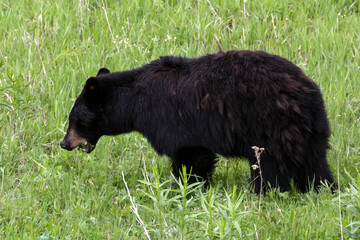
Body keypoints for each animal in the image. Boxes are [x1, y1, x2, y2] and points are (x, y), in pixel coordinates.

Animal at [61, 50, 334, 193]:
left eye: (75, 120)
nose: (64, 143)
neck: (136, 102)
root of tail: (307, 92)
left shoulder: (175, 121)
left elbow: (190, 157)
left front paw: (186, 189)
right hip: (311, 130)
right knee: (315, 162)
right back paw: (322, 188)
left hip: (269, 126)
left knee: (269, 166)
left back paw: (263, 192)